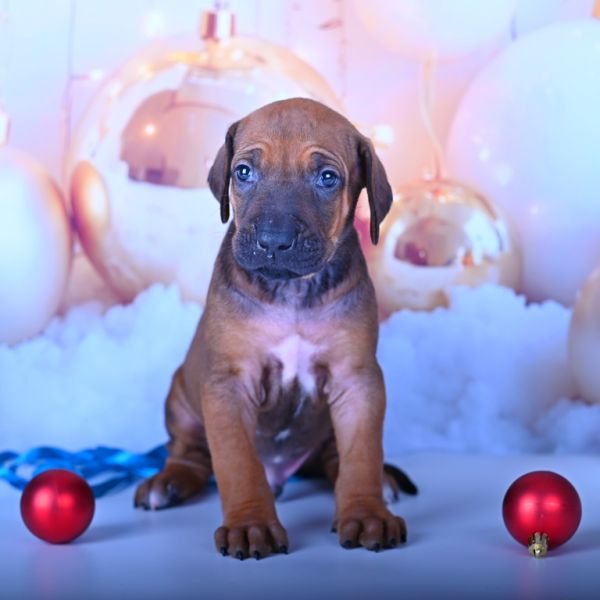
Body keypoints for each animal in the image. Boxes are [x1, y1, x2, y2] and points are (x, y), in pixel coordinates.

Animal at [134, 98, 417, 559]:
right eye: (244, 172)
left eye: (327, 178)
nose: (273, 240)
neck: (292, 293)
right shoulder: (229, 385)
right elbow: (237, 463)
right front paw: (250, 524)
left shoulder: (358, 381)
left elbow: (362, 454)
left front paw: (366, 513)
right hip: (181, 396)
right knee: (190, 453)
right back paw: (168, 482)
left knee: (336, 458)